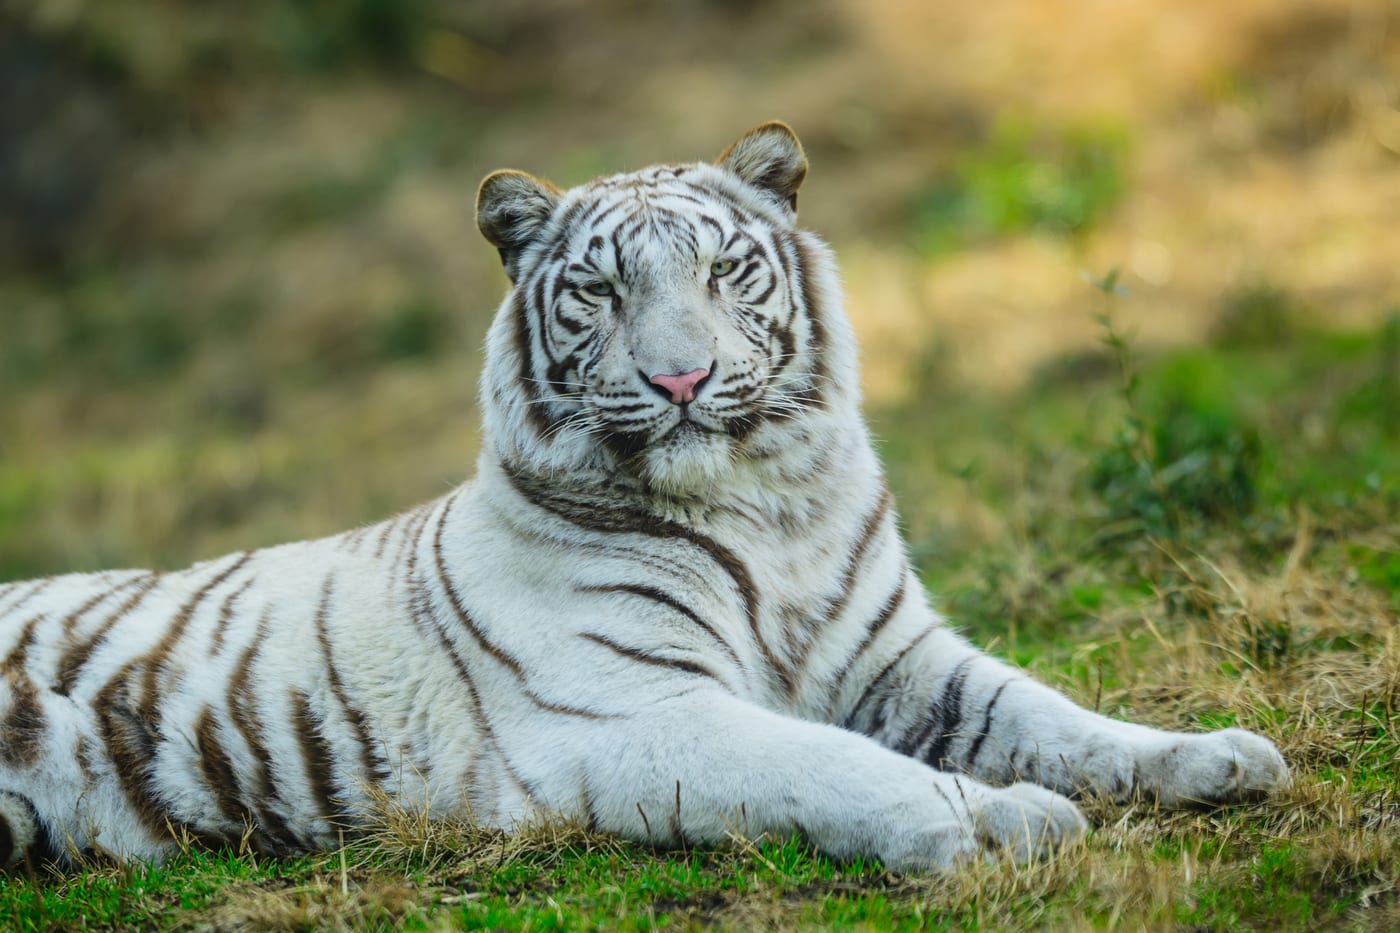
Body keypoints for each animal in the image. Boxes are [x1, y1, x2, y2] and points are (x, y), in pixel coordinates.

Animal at [0, 122, 1289, 873]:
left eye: (724, 271)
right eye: (598, 291)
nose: (680, 378)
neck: (765, 511)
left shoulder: (898, 659)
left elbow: (1053, 717)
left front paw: (1212, 758)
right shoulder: (632, 713)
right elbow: (839, 766)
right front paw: (1001, 821)